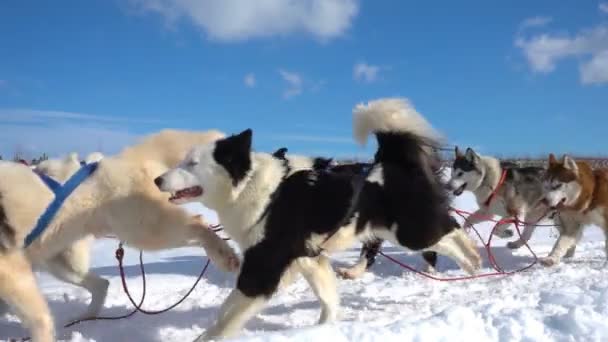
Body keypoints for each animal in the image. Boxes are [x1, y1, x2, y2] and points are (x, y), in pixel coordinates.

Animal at [0, 130, 239, 340]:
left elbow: (39, 320)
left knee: (198, 223)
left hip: (143, 228)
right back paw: (83, 319)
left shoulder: (9, 271)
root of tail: (118, 159)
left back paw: (223, 254)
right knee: (101, 284)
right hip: (61, 261)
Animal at [156, 97, 480, 340]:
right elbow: (328, 298)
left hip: (410, 231)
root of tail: (391, 162)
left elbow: (226, 315)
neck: (255, 188)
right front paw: (324, 329)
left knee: (451, 230)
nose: (158, 180)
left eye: (192, 163)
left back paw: (472, 259)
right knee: (447, 230)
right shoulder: (309, 258)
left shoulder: (263, 266)